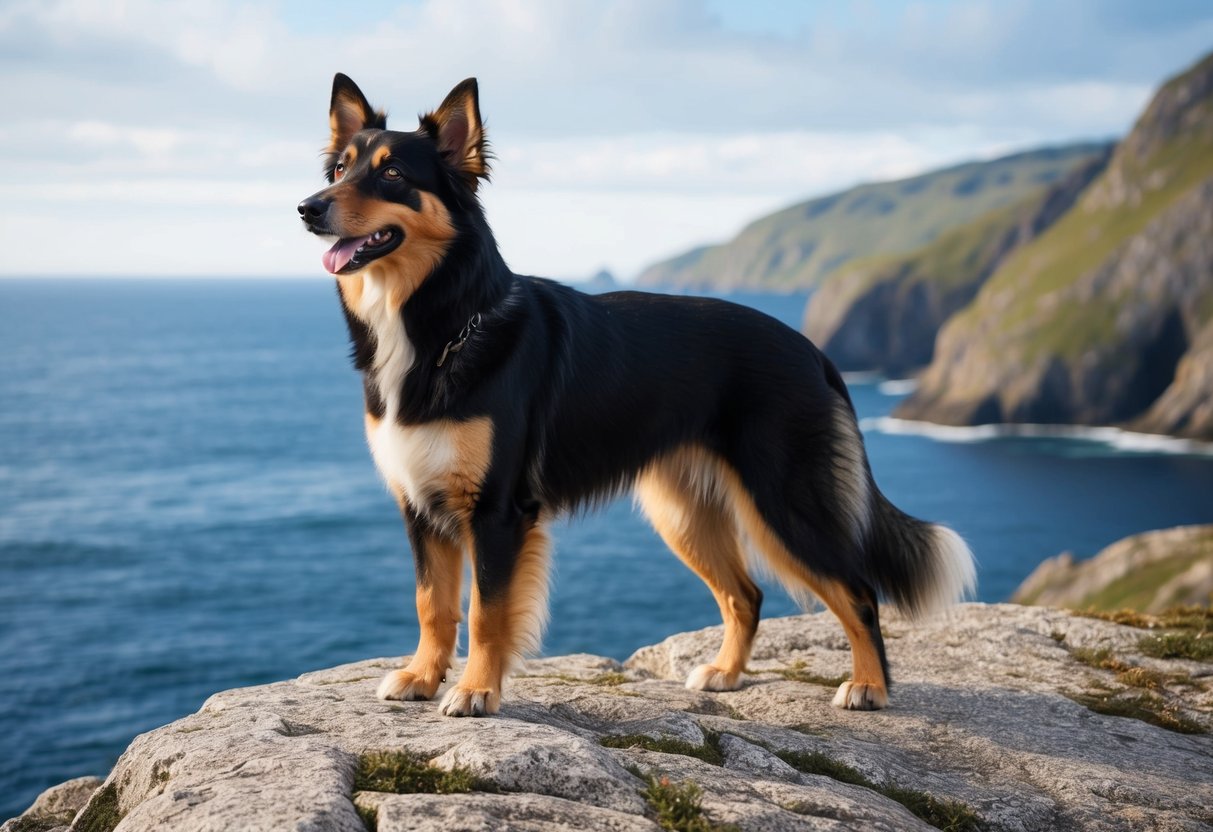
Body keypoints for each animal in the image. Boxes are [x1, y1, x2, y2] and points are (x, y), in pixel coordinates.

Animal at [295, 74, 975, 717]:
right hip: (684, 512)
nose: (307, 207)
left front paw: (476, 692)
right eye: (339, 170)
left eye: (391, 173)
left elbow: (487, 612)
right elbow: (432, 603)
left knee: (858, 592)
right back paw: (725, 674)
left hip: (783, 502)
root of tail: (811, 349)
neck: (445, 323)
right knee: (747, 593)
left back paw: (869, 686)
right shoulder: (418, 502)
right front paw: (421, 676)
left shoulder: (497, 511)